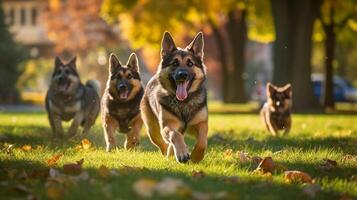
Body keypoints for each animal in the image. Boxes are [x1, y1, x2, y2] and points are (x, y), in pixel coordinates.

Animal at [140, 31, 207, 162]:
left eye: (190, 63)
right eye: (175, 63)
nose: (182, 75)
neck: (184, 102)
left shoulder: (201, 123)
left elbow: (202, 140)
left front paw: (196, 156)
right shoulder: (168, 125)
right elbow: (175, 135)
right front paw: (182, 153)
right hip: (153, 130)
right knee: (164, 143)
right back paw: (169, 154)